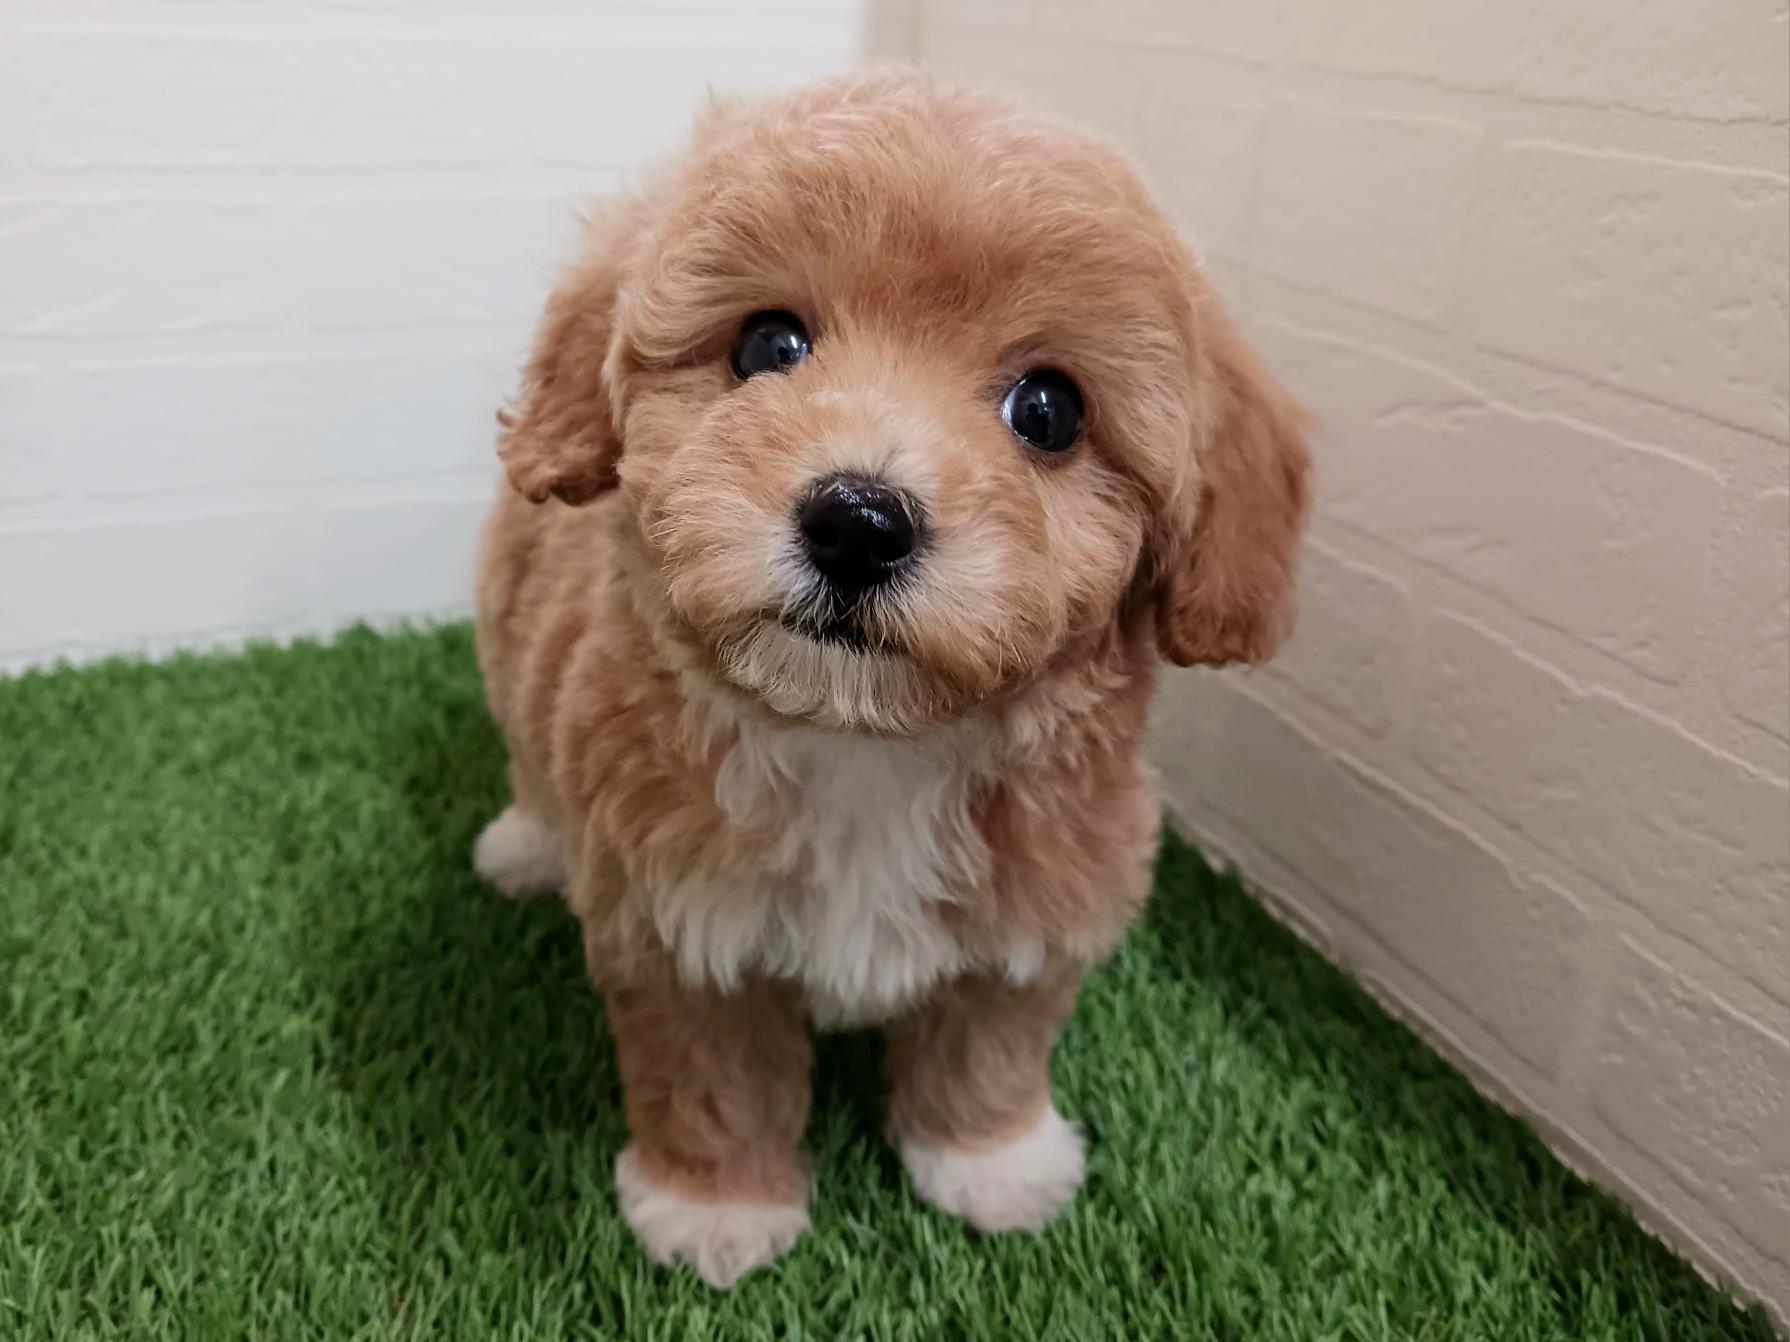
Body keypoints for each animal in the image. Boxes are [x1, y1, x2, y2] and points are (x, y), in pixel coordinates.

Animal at [472, 68, 1310, 1288]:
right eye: (767, 343)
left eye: (1049, 410)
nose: (857, 523)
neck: (865, 741)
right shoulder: (678, 919)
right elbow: (709, 1073)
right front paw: (713, 1208)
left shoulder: (1043, 892)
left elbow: (992, 1038)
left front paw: (991, 1161)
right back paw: (529, 843)